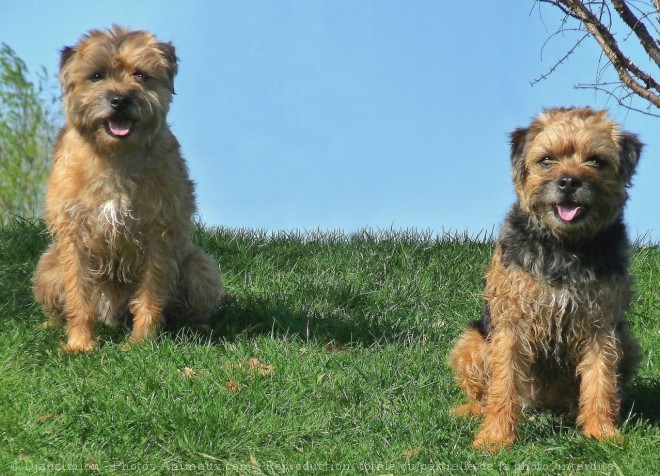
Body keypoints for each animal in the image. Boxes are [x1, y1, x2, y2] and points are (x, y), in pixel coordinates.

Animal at [34, 27, 227, 354]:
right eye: (97, 75)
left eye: (141, 75)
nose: (120, 99)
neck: (116, 156)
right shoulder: (73, 236)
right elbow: (78, 295)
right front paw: (80, 344)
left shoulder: (159, 234)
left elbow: (151, 293)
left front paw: (140, 343)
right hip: (47, 268)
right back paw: (52, 325)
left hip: (201, 268)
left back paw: (198, 328)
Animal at [448, 108, 640, 454]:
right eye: (547, 159)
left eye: (596, 161)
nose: (569, 181)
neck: (564, 246)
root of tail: (543, 406)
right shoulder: (512, 324)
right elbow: (504, 384)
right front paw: (495, 437)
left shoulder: (600, 327)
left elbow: (600, 381)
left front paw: (601, 432)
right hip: (470, 342)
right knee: (484, 392)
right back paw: (472, 410)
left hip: (629, 342)